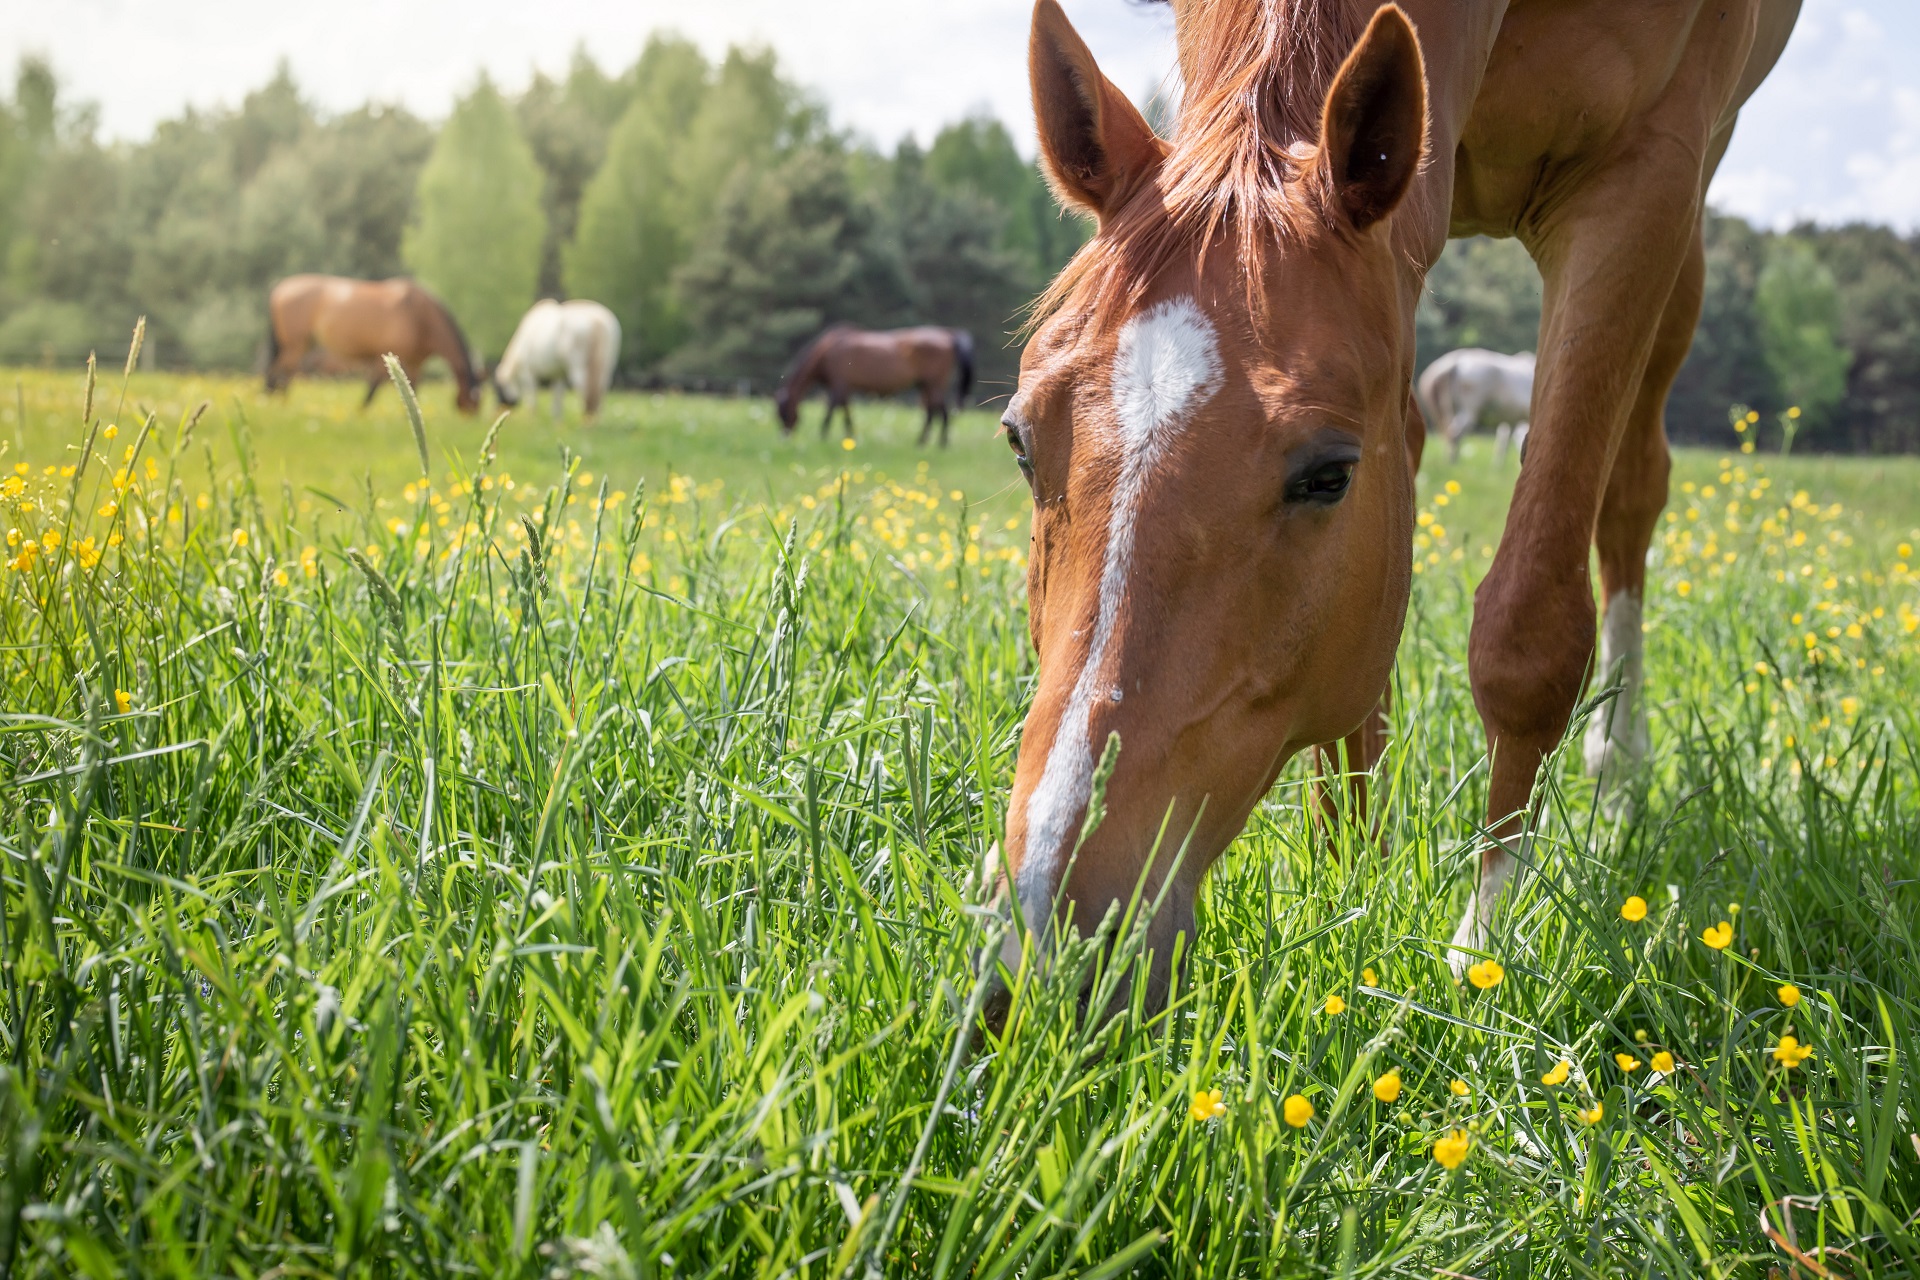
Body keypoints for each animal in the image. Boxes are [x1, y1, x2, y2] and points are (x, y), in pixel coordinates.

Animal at [266, 275, 483, 414]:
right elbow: (373, 388)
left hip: (303, 344)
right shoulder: (386, 356)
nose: (471, 419)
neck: (421, 317)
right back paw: (275, 402)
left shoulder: (415, 363)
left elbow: (414, 391)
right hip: (295, 345)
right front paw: (361, 413)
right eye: (473, 404)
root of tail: (281, 287)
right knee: (280, 371)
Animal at [492, 299, 621, 420]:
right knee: (601, 388)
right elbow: (557, 399)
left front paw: (532, 420)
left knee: (584, 388)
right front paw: (557, 422)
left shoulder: (528, 373)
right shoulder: (559, 374)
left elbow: (532, 400)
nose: (499, 409)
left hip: (578, 365)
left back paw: (586, 421)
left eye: (498, 388)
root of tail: (596, 320)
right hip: (607, 364)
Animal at [774, 326, 975, 447]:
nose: (785, 436)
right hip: (925, 385)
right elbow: (846, 412)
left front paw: (823, 435)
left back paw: (938, 443)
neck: (827, 352)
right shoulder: (846, 388)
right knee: (932, 411)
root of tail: (947, 334)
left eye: (785, 414)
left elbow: (831, 410)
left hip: (934, 383)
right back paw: (925, 442)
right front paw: (850, 436)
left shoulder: (840, 384)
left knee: (941, 411)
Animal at [994, 0, 1798, 1013]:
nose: (1049, 938)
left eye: (1328, 476)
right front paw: (1346, 875)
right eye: (1022, 441)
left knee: (1631, 492)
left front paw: (1482, 945)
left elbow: (1530, 635)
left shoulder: (1646, 179)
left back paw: (1617, 766)